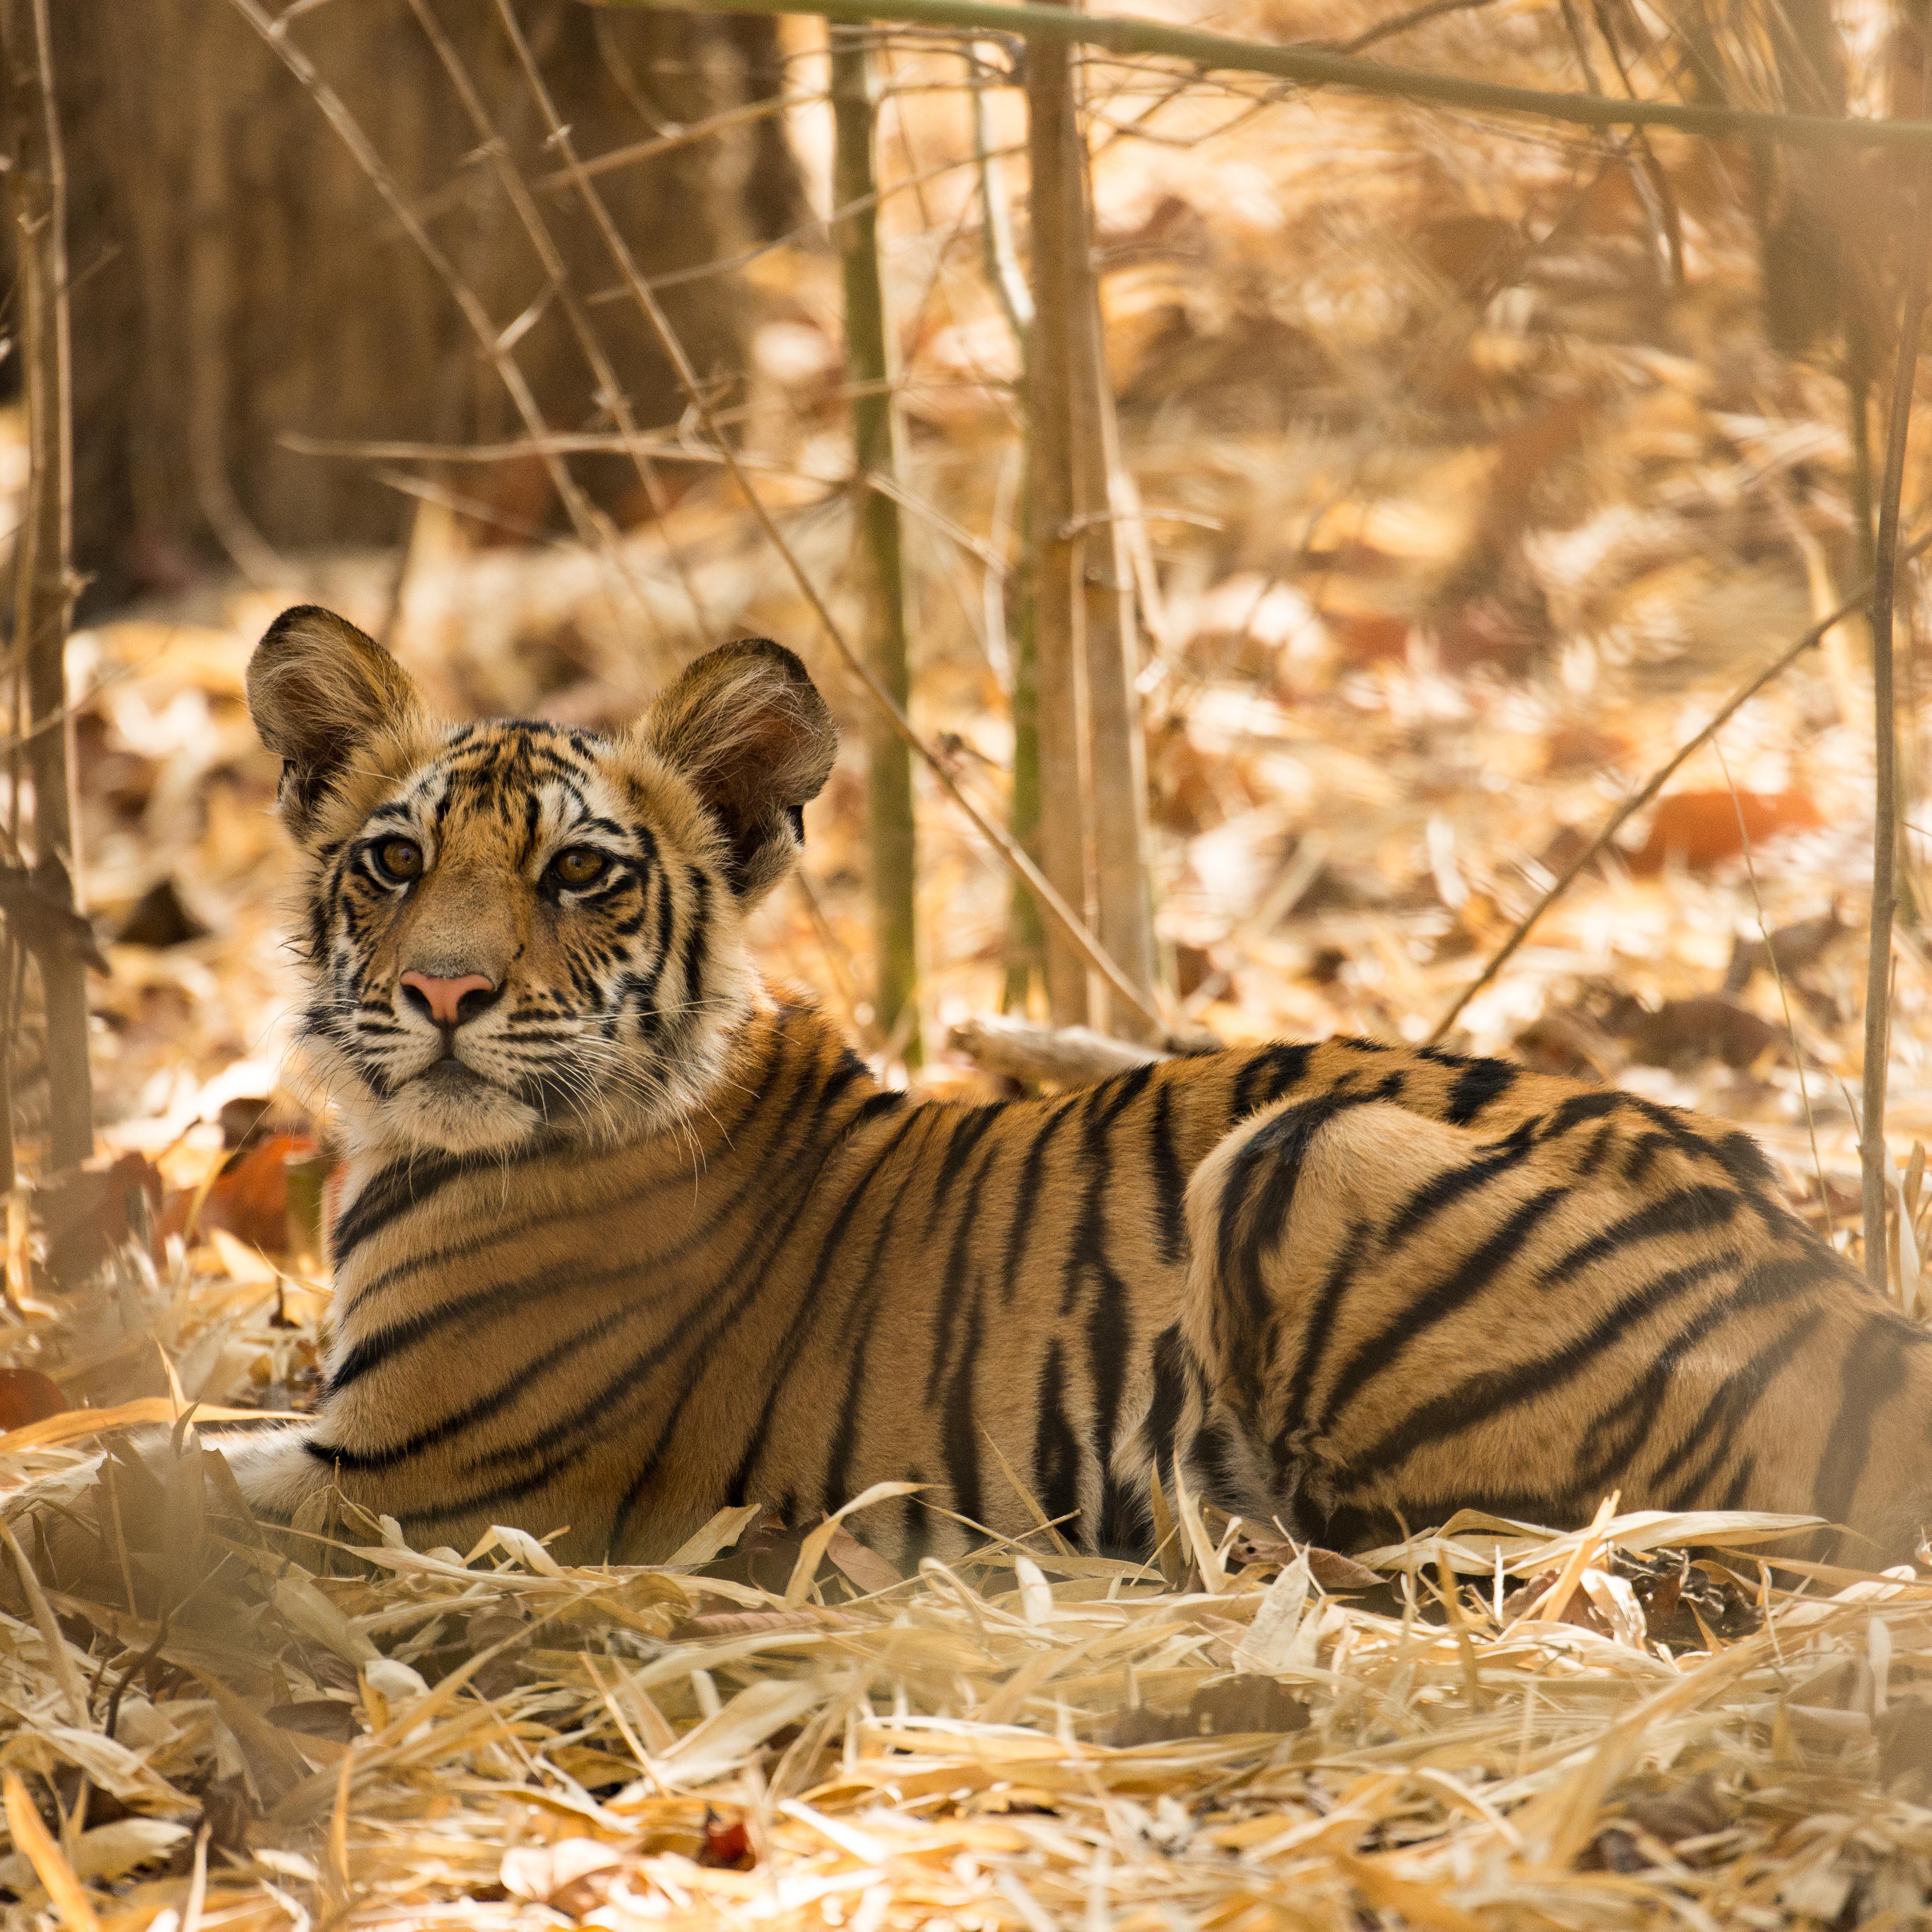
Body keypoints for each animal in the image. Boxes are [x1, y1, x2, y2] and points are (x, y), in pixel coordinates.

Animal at [217, 602, 1932, 1569]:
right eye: (393, 861)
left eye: (581, 872)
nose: (444, 994)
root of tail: (1838, 1295)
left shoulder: (406, 1485)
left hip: (1302, 1155)